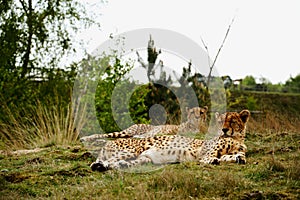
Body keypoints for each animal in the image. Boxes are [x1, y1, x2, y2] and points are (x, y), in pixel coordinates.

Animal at [79, 105, 209, 143]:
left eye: (201, 112)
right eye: (192, 112)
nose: (197, 117)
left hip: (129, 134)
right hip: (127, 131)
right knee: (107, 135)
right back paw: (85, 138)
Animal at [89, 109, 251, 172]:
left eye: (232, 121)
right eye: (220, 121)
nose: (223, 130)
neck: (235, 138)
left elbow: (232, 156)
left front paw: (239, 158)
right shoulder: (203, 154)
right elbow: (210, 158)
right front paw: (213, 161)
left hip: (143, 159)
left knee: (118, 163)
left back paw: (116, 166)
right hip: (130, 151)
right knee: (104, 161)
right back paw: (99, 165)